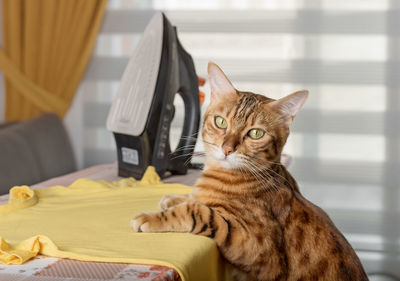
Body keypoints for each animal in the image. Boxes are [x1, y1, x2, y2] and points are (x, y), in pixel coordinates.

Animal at [131, 62, 368, 278]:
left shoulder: (257, 247)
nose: (227, 149)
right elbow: (195, 199)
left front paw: (152, 217)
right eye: (220, 122)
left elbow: (198, 211)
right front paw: (174, 197)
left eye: (255, 133)